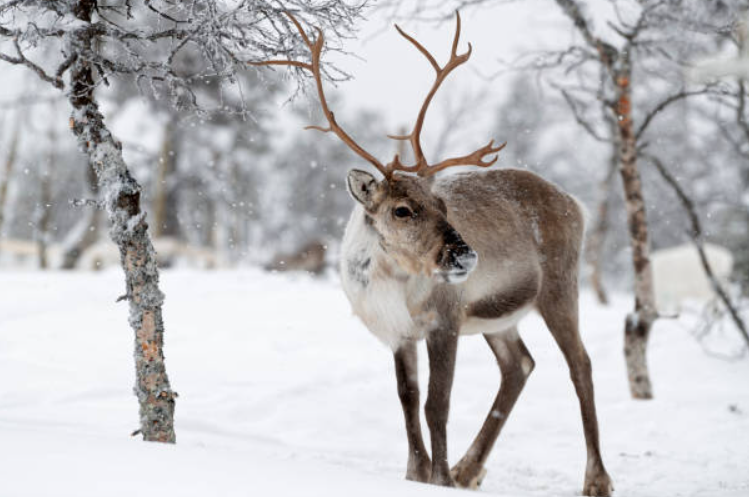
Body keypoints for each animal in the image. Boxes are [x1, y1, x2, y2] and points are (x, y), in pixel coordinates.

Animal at [250, 11, 614, 497]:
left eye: (442, 204)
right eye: (402, 209)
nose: (465, 257)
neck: (395, 285)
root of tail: (577, 202)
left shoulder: (445, 319)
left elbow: (438, 403)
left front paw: (437, 479)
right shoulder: (400, 333)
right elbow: (409, 398)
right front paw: (417, 473)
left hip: (559, 286)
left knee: (581, 365)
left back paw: (596, 478)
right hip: (497, 315)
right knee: (520, 364)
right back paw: (468, 468)